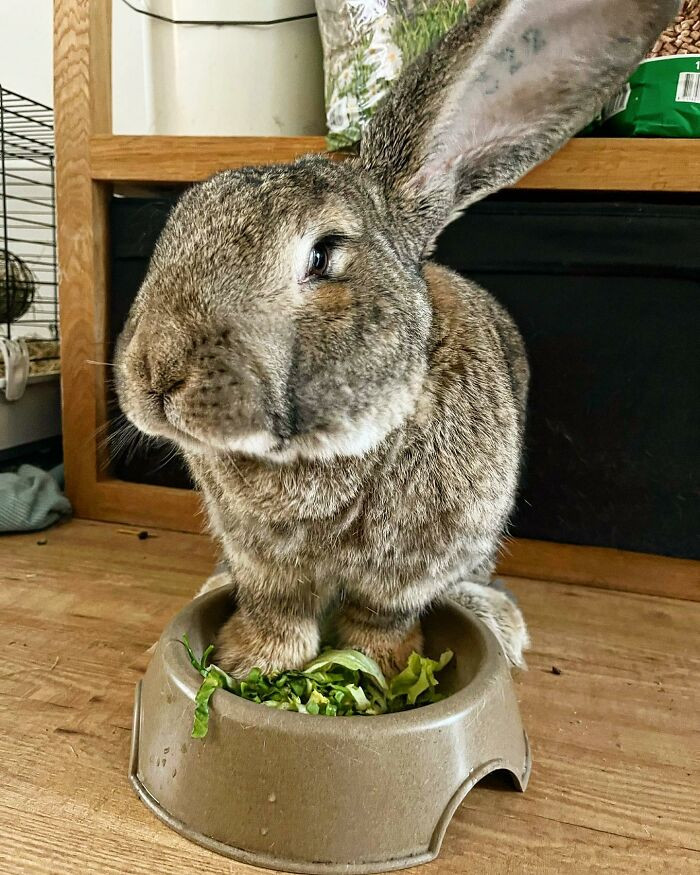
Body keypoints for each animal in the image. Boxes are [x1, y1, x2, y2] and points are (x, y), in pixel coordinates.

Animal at [115, 0, 678, 677]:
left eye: (324, 255)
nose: (154, 376)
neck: (326, 452)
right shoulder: (261, 562)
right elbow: (276, 611)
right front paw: (248, 662)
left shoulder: (415, 567)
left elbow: (378, 618)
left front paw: (376, 669)